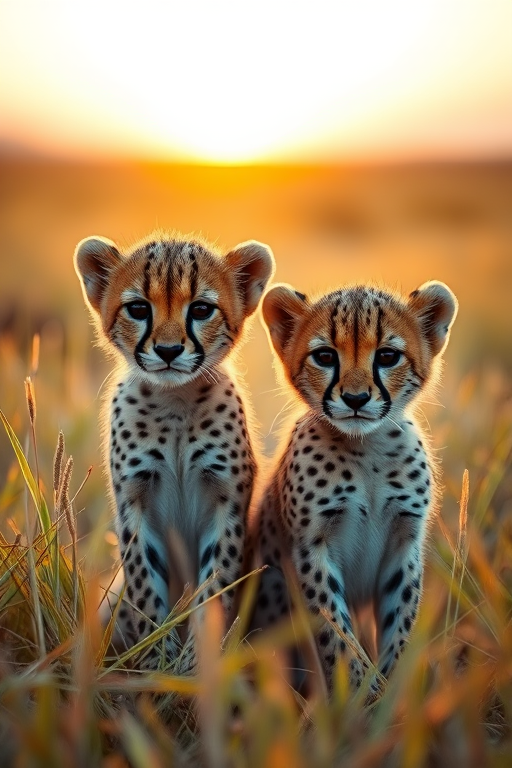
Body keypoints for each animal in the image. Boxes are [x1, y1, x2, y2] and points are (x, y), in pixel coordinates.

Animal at [74, 231, 274, 669]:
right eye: (138, 308)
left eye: (200, 309)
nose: (168, 351)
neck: (175, 402)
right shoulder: (135, 504)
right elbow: (145, 585)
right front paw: (156, 662)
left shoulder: (226, 504)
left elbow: (214, 586)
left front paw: (196, 665)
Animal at [251, 279, 458, 694]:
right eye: (325, 356)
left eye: (388, 356)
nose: (356, 398)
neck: (367, 450)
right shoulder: (312, 549)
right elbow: (336, 634)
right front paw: (361, 694)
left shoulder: (404, 545)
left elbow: (399, 626)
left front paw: (391, 692)